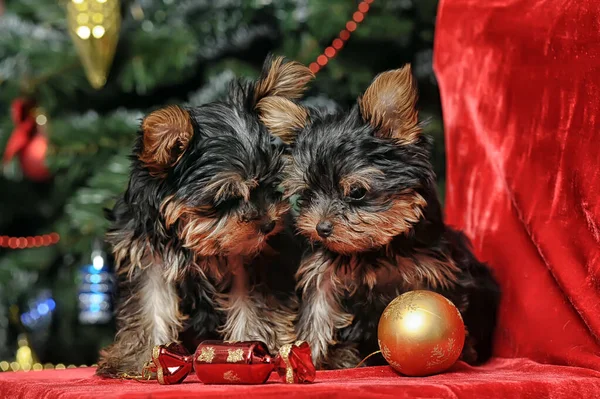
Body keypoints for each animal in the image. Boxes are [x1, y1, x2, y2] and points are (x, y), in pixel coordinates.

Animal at [96, 56, 312, 378]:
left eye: (271, 186)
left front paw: (251, 347)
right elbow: (149, 306)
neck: (188, 235)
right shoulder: (147, 255)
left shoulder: (253, 259)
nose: (269, 225)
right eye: (226, 199)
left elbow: (253, 305)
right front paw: (138, 360)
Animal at [260, 65, 500, 368]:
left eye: (356, 192)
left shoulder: (437, 272)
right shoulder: (322, 276)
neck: (373, 249)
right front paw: (309, 357)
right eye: (307, 193)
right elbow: (316, 316)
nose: (321, 228)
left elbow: (449, 309)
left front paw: (461, 355)